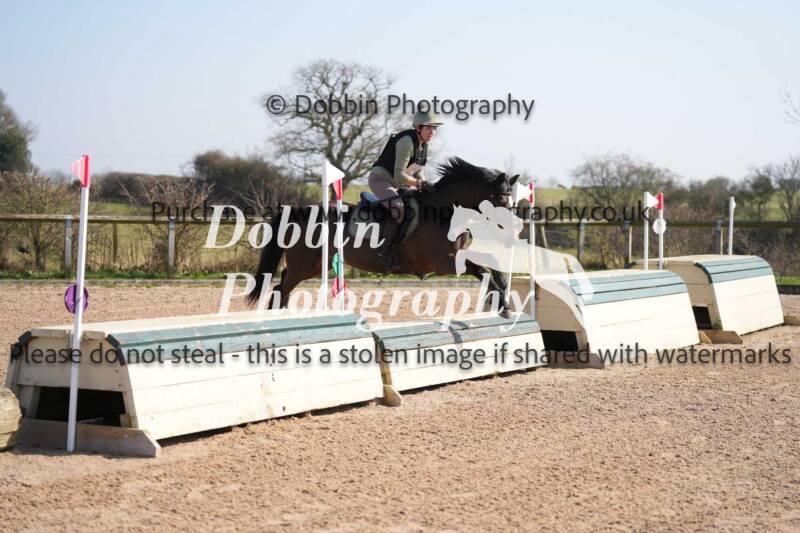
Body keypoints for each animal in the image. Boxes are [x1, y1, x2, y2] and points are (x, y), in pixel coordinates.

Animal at [246, 157, 519, 314]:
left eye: (510, 201)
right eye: (499, 200)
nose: (510, 232)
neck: (445, 210)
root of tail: (297, 210)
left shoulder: (459, 255)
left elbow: (490, 265)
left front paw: (503, 295)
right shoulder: (444, 262)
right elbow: (480, 270)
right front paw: (502, 305)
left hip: (313, 266)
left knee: (282, 286)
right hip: (304, 265)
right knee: (281, 288)